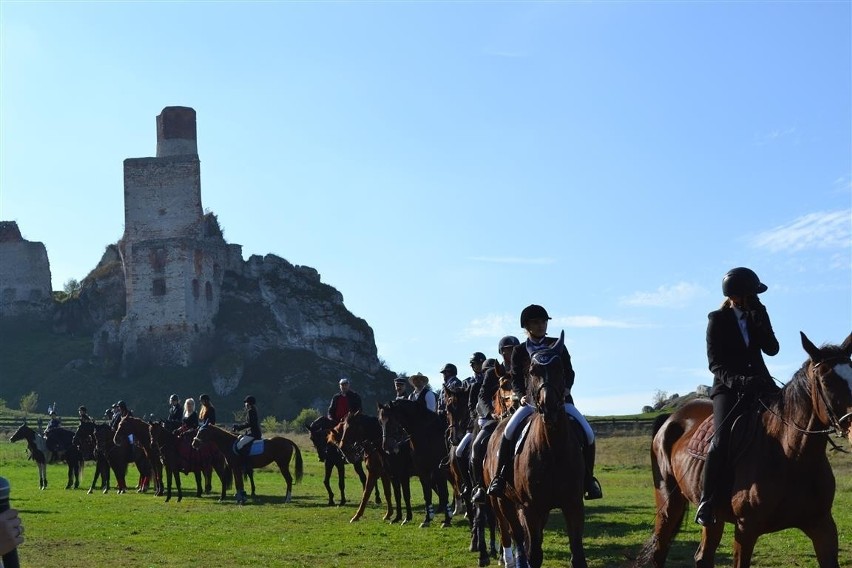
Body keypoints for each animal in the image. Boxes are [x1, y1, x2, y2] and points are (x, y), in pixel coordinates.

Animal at [378, 400, 452, 528]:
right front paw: (427, 519)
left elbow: (444, 493)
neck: (428, 435)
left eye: (391, 420)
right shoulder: (421, 472)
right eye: (380, 421)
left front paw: (447, 520)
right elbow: (426, 494)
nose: (386, 446)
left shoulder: (438, 471)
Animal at [480, 330, 584, 568]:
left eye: (560, 368)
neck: (553, 447)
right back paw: (509, 559)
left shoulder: (573, 504)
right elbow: (533, 553)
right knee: (512, 534)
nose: (549, 406)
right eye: (532, 371)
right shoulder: (530, 507)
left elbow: (577, 555)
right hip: (501, 500)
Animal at [636, 330, 852, 564]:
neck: (792, 457)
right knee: (659, 551)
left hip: (712, 517)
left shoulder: (823, 526)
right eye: (826, 381)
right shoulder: (746, 529)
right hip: (668, 504)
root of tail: (670, 418)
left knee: (703, 555)